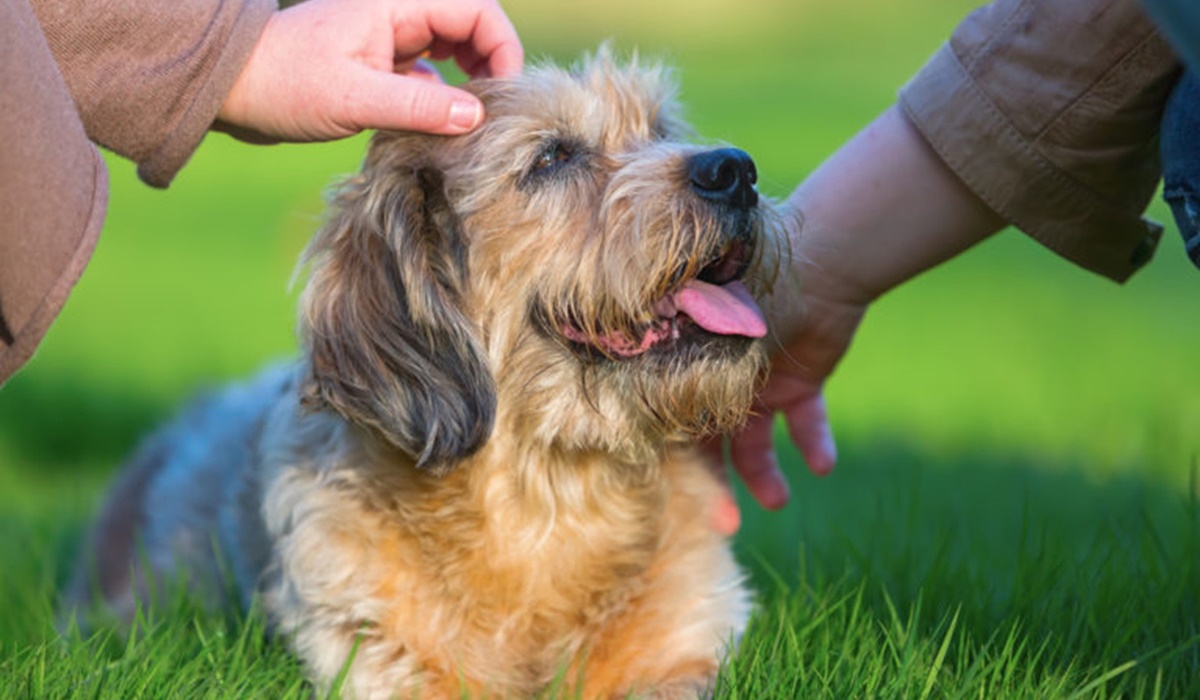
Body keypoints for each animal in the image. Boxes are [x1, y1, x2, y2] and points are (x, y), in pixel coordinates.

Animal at [70, 50, 787, 700]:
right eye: (551, 157)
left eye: (661, 129)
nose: (736, 170)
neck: (547, 501)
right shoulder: (374, 653)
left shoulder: (684, 650)